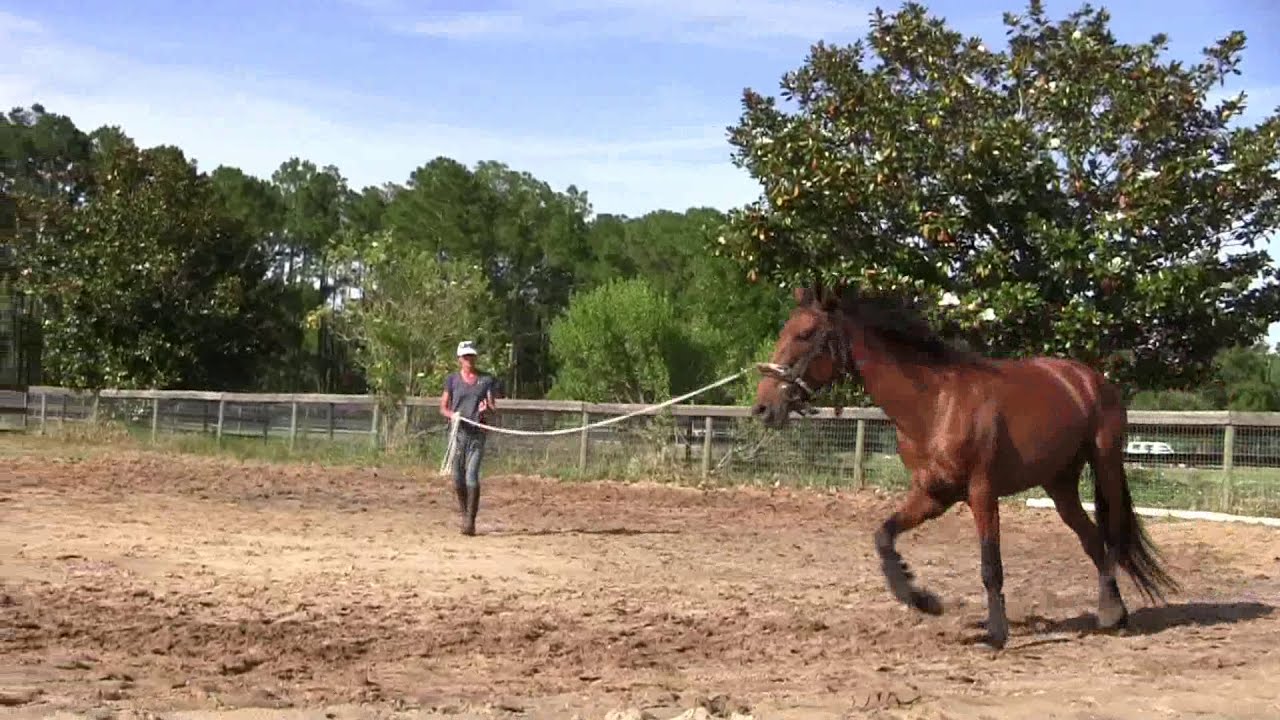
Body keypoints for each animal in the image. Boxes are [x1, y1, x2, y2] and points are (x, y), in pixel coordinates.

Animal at [750, 280, 1180, 649]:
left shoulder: (982, 493)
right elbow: (884, 537)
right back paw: (1112, 613)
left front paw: (996, 634)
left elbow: (991, 566)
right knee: (1091, 539)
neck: (935, 406)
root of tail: (1088, 378)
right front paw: (923, 599)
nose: (763, 408)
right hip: (1059, 485)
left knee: (1112, 536)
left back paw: (1115, 614)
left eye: (805, 334)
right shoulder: (933, 495)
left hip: (1104, 466)